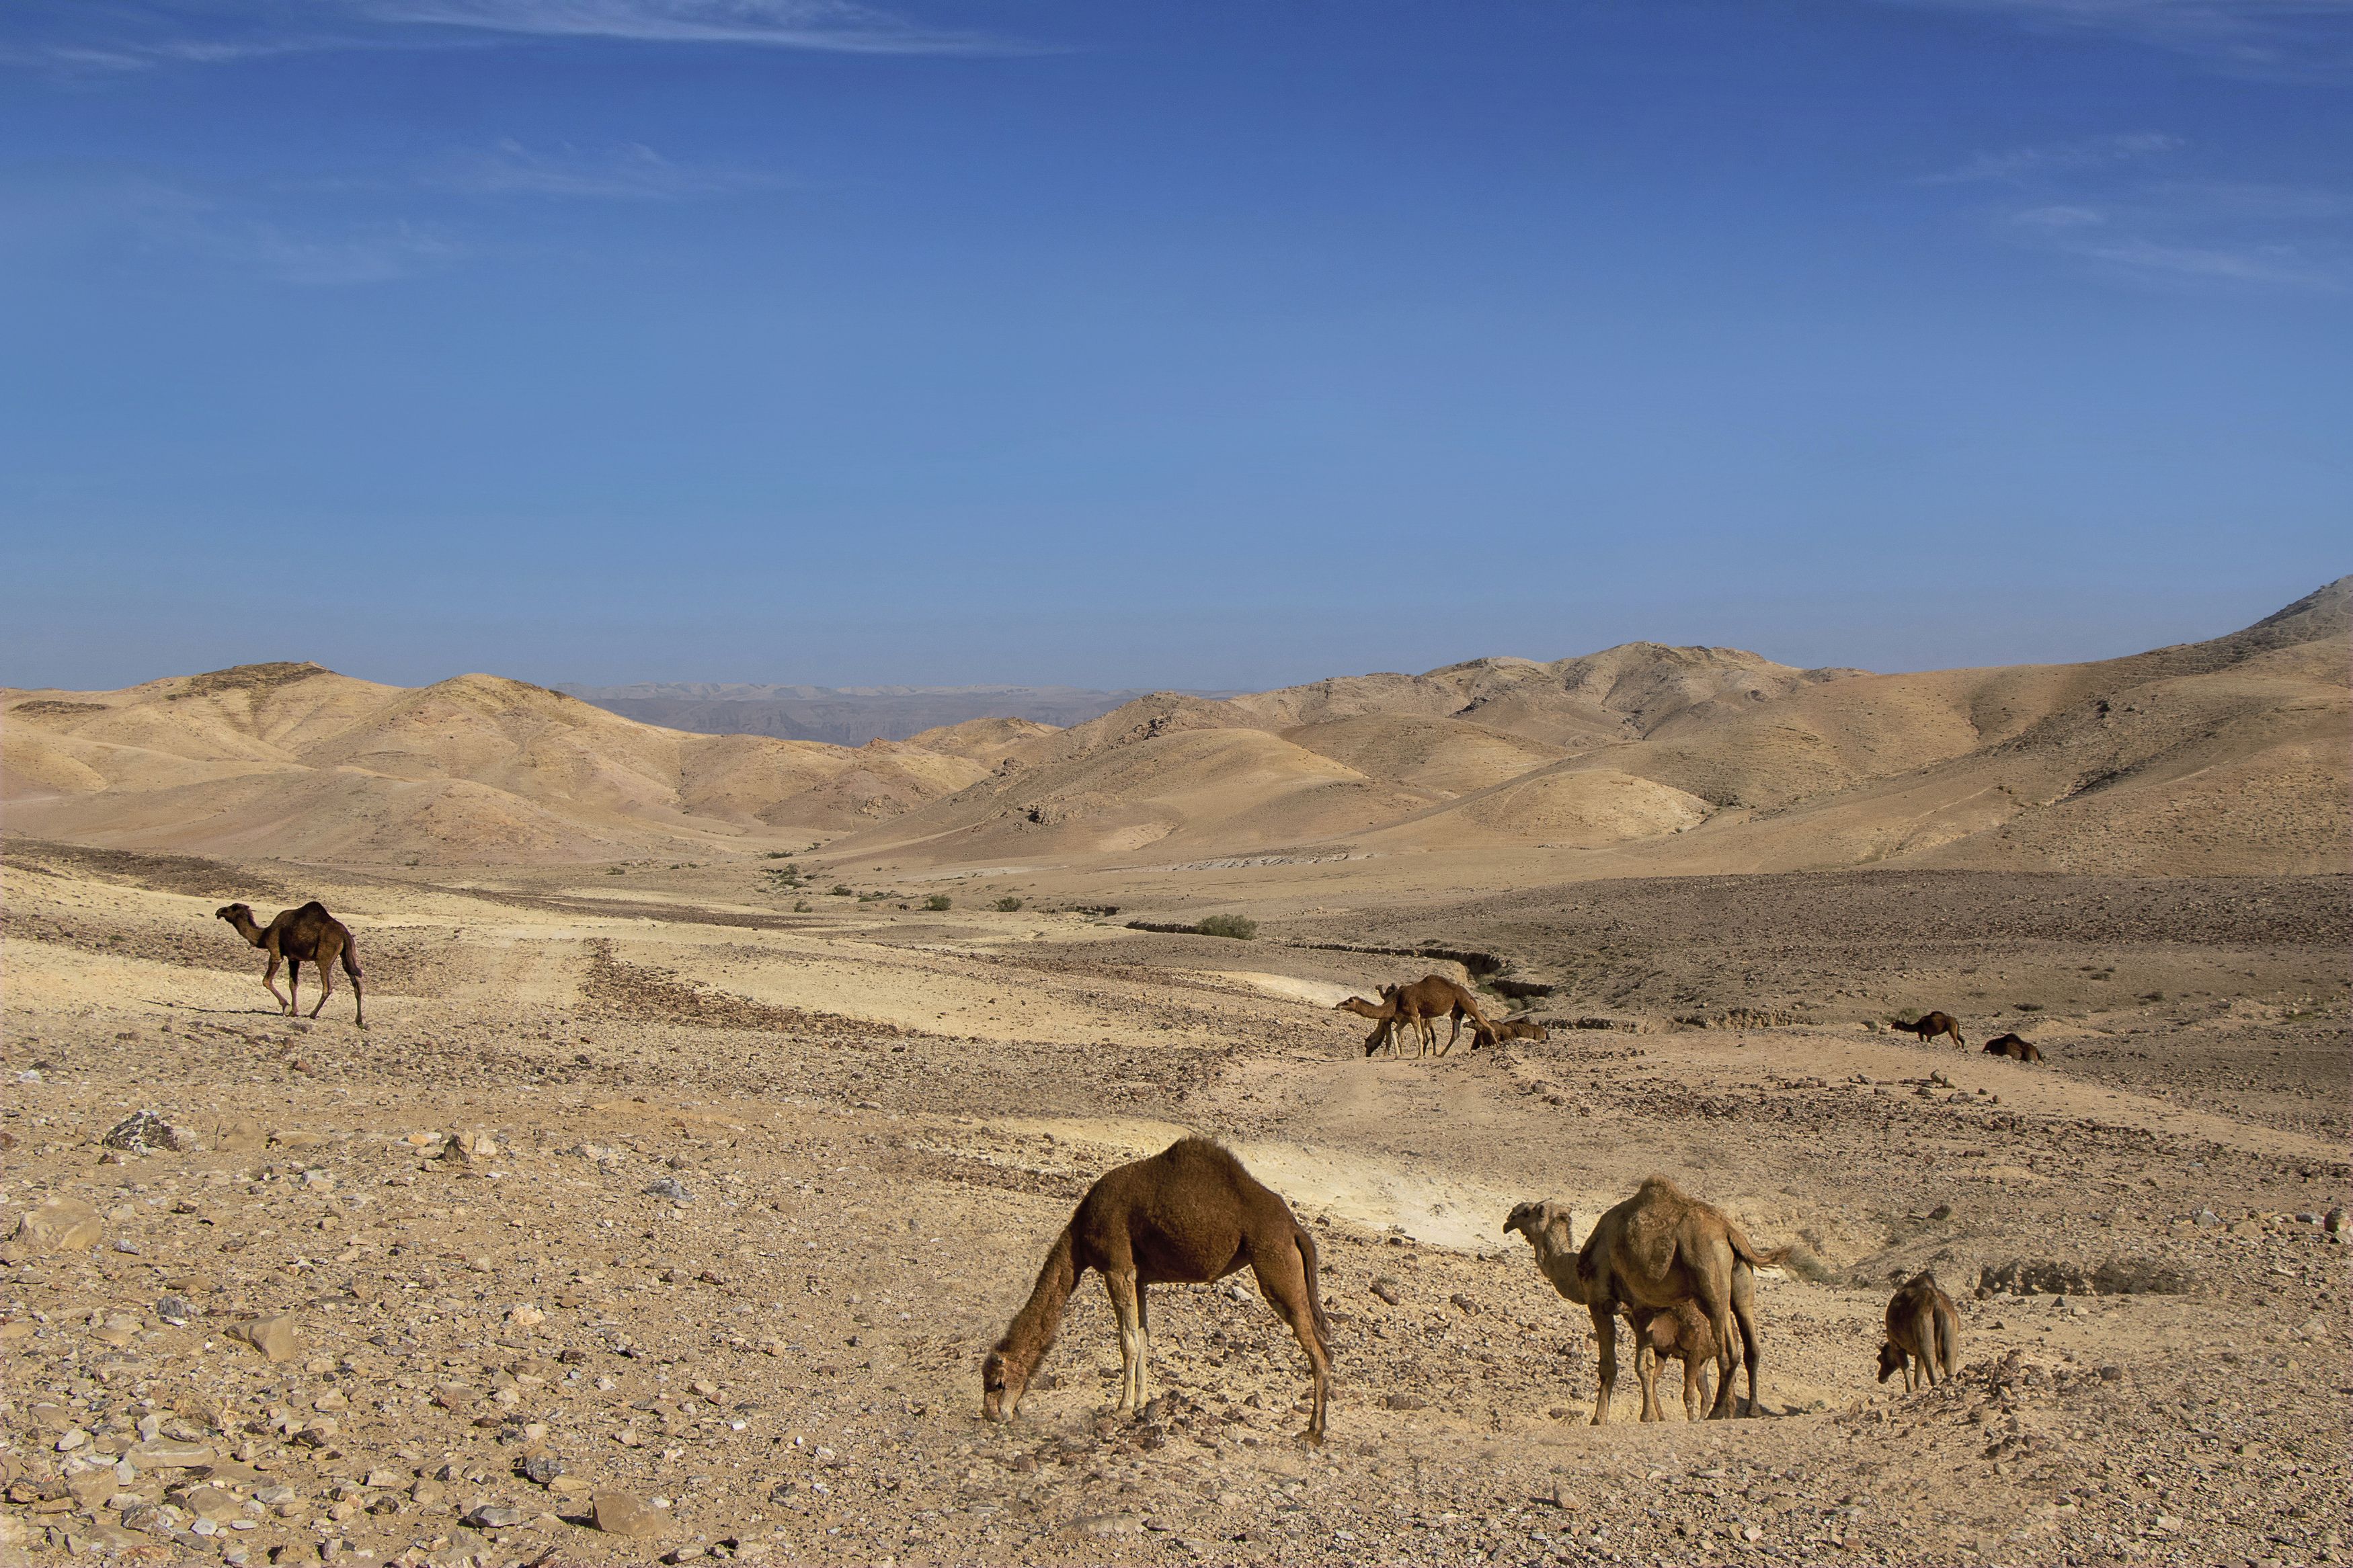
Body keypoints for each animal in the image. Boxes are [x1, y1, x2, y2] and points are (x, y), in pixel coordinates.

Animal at [218, 903, 364, 1025]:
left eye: (232, 907)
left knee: (327, 987)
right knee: (356, 983)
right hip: (347, 956)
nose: (219, 911)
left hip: (324, 957)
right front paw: (294, 1011)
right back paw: (359, 1021)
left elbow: (267, 981)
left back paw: (313, 1014)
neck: (263, 935)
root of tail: (345, 934)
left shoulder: (275, 950)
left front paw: (286, 1007)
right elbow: (293, 984)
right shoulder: (294, 958)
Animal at [979, 1142, 1346, 1448]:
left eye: (997, 1383)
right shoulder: (1138, 1276)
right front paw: (1141, 1403)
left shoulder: (1117, 1266)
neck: (1079, 1236)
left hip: (1274, 1262)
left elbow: (1127, 1341)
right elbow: (1143, 1338)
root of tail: (1296, 1231)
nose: (993, 1415)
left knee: (1318, 1349)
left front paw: (1122, 1407)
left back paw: (1313, 1433)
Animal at [1506, 1175, 1779, 1419]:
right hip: (1741, 1280)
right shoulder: (1643, 1309)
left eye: (1529, 1211)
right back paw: (1751, 1411)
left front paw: (1600, 1419)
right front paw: (1649, 1416)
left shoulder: (1600, 1302)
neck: (1576, 1267)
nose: (1509, 1218)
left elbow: (1609, 1366)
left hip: (1709, 1275)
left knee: (1727, 1349)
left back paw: (1718, 1412)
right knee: (1751, 1343)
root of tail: (1729, 1231)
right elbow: (1646, 1366)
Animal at [1873, 1269, 1967, 1391]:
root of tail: (1936, 1303)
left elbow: (1906, 1371)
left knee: (1931, 1367)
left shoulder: (1896, 1344)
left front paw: (1910, 1391)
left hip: (1924, 1334)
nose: (1881, 1378)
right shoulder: (1917, 1352)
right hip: (1950, 1332)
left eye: (1879, 1358)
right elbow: (1917, 1376)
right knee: (1949, 1363)